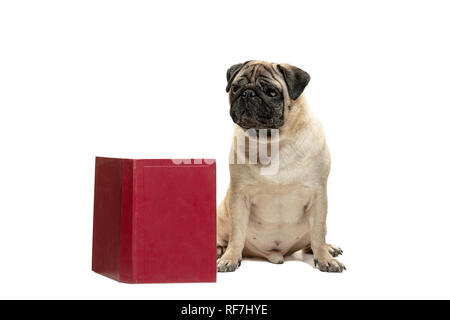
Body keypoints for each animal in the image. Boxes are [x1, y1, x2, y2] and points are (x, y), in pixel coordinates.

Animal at [216, 60, 346, 272]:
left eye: (271, 92)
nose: (247, 93)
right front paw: (230, 258)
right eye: (235, 88)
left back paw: (328, 248)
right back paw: (220, 249)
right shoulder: (238, 196)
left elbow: (318, 234)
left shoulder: (318, 196)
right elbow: (236, 235)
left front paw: (325, 259)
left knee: (313, 240)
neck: (273, 143)